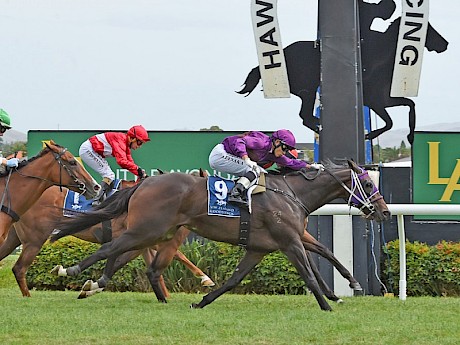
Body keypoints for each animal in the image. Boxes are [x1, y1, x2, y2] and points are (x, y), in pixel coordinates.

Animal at [0, 181, 215, 296]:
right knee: (20, 267)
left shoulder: (142, 240)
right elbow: (177, 255)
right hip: (34, 238)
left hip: (15, 237)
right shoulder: (139, 237)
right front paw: (205, 279)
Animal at [49, 160, 388, 310]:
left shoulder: (261, 248)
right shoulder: (290, 241)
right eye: (367, 184)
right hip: (148, 229)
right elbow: (308, 272)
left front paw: (202, 301)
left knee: (133, 258)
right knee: (112, 249)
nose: (384, 212)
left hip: (156, 232)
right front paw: (328, 304)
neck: (291, 193)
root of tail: (143, 183)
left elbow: (234, 280)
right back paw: (73, 271)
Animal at [239, 16, 448, 142]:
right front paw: (369, 135)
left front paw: (410, 136)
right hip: (308, 89)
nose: (444, 44)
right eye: (426, 29)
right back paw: (321, 127)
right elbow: (390, 122)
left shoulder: (383, 100)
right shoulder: (375, 101)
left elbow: (410, 105)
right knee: (305, 116)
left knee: (305, 117)